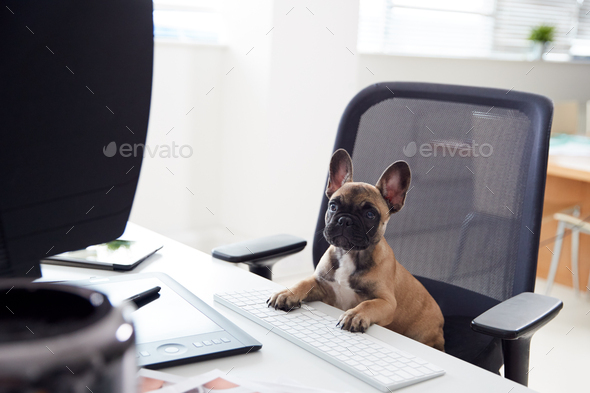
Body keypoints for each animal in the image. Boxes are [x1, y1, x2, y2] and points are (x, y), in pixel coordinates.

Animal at [268, 149, 444, 350]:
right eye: (333, 206)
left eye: (370, 214)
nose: (345, 220)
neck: (349, 253)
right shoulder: (321, 284)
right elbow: (303, 283)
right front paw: (286, 294)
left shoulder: (386, 302)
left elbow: (368, 305)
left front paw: (354, 315)